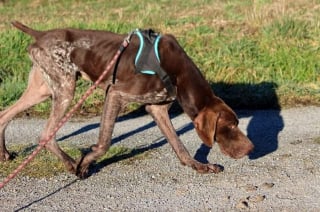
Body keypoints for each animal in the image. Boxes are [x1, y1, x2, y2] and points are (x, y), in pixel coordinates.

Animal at [0, 21, 255, 178]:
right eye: (231, 126)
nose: (251, 148)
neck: (179, 74)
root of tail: (41, 34)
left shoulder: (157, 108)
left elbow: (179, 146)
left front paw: (198, 166)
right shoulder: (115, 94)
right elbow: (104, 143)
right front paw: (85, 162)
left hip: (43, 88)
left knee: (5, 114)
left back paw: (4, 153)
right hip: (64, 88)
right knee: (46, 134)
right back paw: (71, 163)